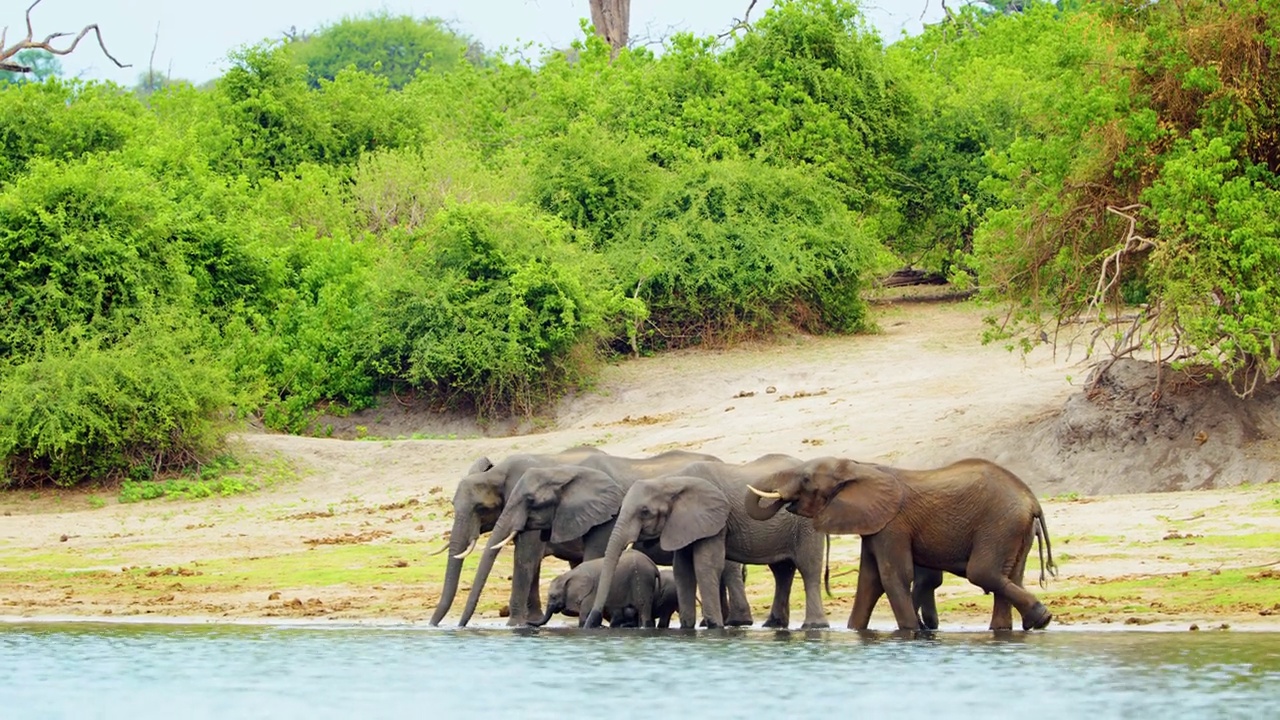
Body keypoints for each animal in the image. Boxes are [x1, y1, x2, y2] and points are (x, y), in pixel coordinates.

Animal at [427, 445, 606, 625]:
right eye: (453, 505)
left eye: (481, 508)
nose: (433, 625)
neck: (496, 474)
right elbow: (532, 562)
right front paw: (530, 621)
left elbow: (525, 558)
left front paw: (513, 625)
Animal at [529, 545, 670, 625]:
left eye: (553, 596)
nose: (528, 623)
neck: (569, 575)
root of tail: (653, 566)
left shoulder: (590, 594)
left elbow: (584, 616)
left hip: (642, 579)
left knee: (643, 609)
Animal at [583, 453, 829, 627]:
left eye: (644, 512)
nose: (592, 623)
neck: (672, 481)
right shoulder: (683, 523)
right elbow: (682, 569)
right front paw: (687, 627)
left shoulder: (716, 519)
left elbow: (705, 565)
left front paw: (713, 626)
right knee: (782, 571)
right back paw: (773, 625)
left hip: (805, 523)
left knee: (808, 568)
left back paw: (814, 626)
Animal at [747, 453, 1054, 627]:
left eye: (806, 479)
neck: (860, 468)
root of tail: (1032, 501)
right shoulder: (875, 525)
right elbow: (869, 581)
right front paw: (855, 631)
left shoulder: (892, 525)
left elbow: (892, 576)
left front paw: (911, 631)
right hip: (1015, 529)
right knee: (1010, 577)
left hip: (999, 524)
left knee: (983, 573)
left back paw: (1042, 618)